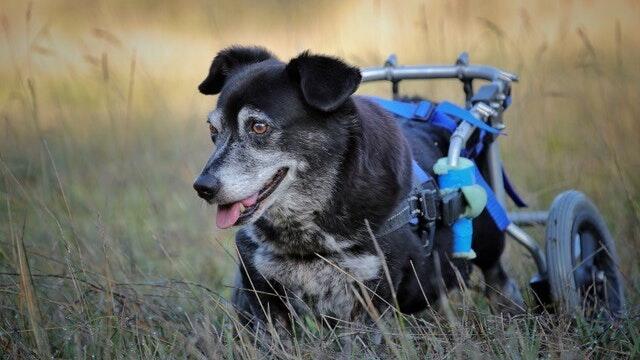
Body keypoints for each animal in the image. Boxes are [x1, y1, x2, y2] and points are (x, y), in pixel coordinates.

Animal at [192, 45, 524, 338]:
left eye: (258, 127)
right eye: (212, 130)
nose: (203, 187)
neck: (305, 228)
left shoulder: (370, 296)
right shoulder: (262, 292)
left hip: (488, 239)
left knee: (499, 277)